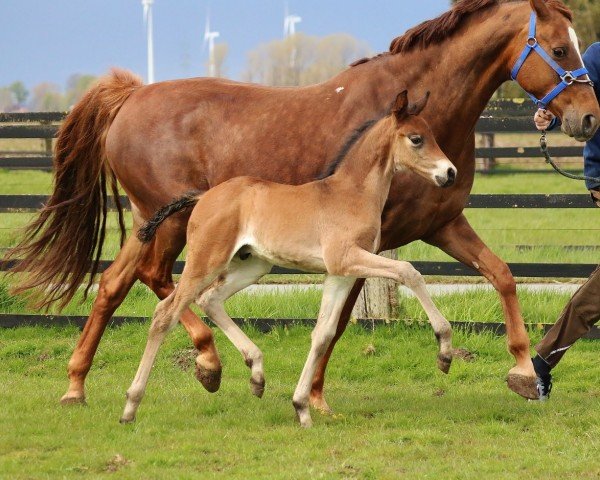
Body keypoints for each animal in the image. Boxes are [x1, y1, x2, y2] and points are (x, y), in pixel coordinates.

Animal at [119, 91, 458, 428]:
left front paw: (301, 408)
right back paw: (130, 406)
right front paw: (444, 352)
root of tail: (203, 196)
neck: (351, 194)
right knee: (165, 313)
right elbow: (409, 271)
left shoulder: (340, 273)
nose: (450, 173)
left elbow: (323, 334)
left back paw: (257, 375)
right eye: (416, 139)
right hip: (206, 260)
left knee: (210, 299)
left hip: (252, 265)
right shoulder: (347, 258)